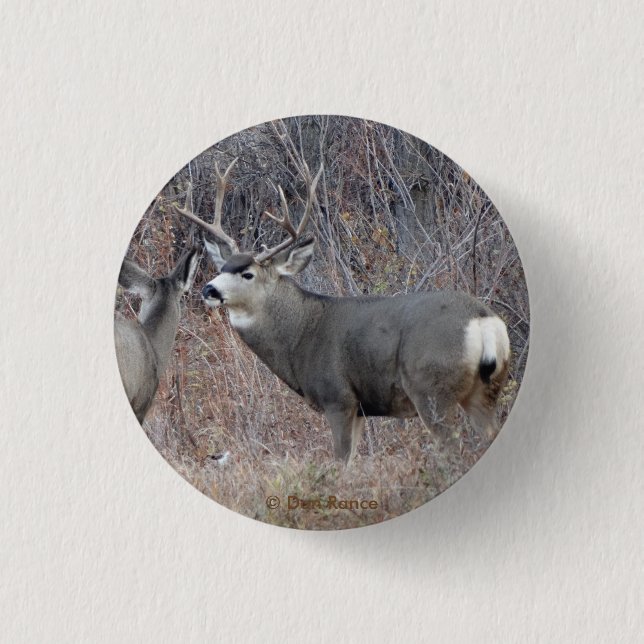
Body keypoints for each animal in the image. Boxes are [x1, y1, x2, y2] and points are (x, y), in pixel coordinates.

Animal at [171, 159, 510, 463]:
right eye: (222, 267)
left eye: (247, 274)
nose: (209, 290)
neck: (300, 335)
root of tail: (483, 321)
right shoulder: (359, 409)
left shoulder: (338, 398)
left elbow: (342, 464)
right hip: (485, 390)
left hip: (431, 389)